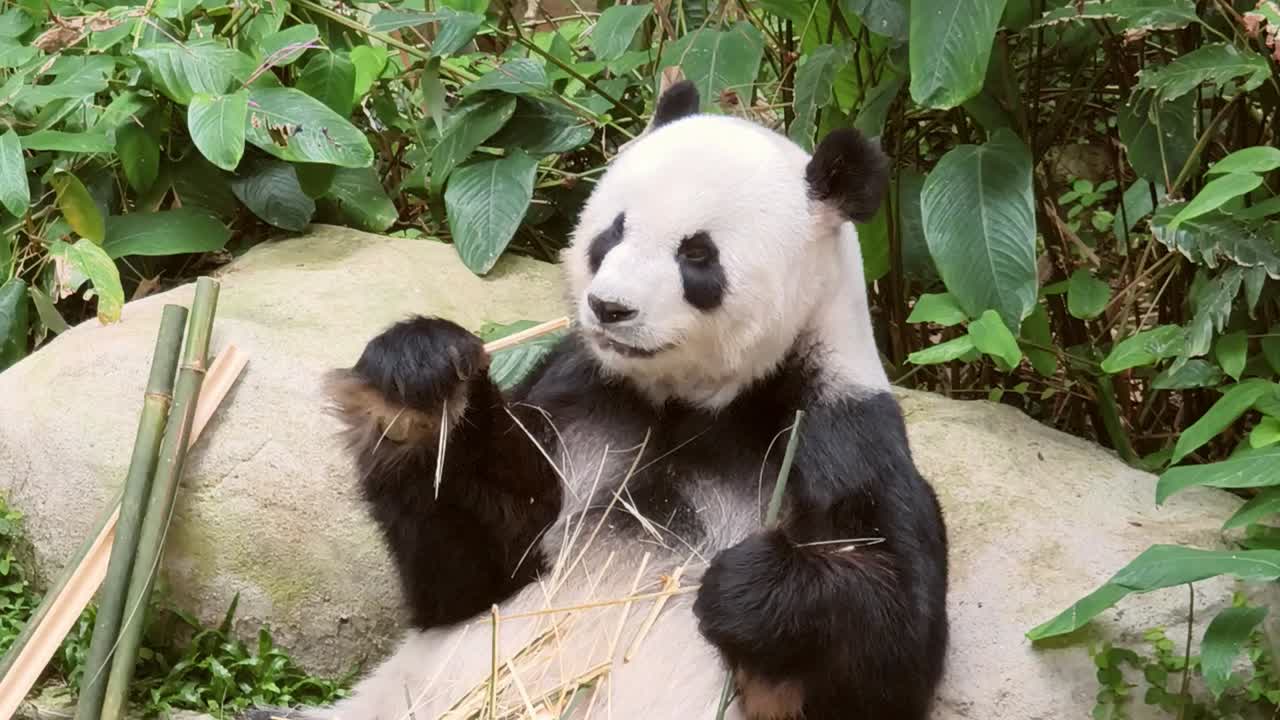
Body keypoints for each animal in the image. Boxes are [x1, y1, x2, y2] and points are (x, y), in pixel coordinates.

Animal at [247, 80, 949, 720]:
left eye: (699, 255)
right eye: (611, 232)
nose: (609, 307)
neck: (689, 400)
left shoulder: (835, 429)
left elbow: (895, 652)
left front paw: (750, 587)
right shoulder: (578, 396)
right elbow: (474, 573)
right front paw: (420, 382)